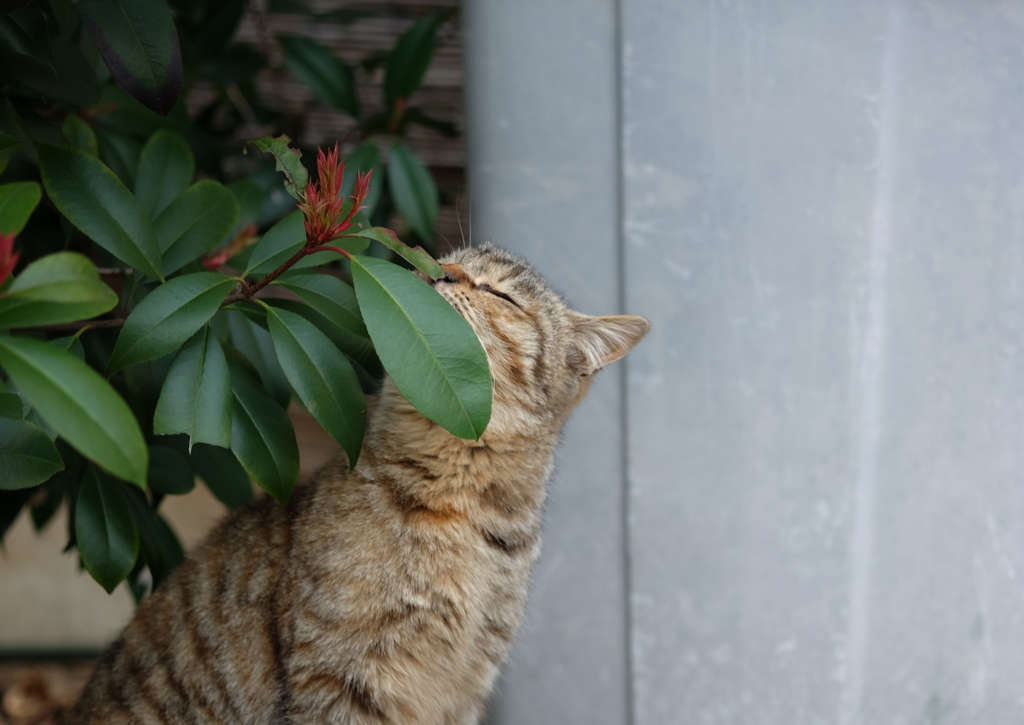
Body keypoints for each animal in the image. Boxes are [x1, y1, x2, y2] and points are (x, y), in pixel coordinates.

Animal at [70, 244, 647, 724]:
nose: (438, 270)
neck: (461, 508)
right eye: (448, 258)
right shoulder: (342, 675)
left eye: (499, 293)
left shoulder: (465, 682)